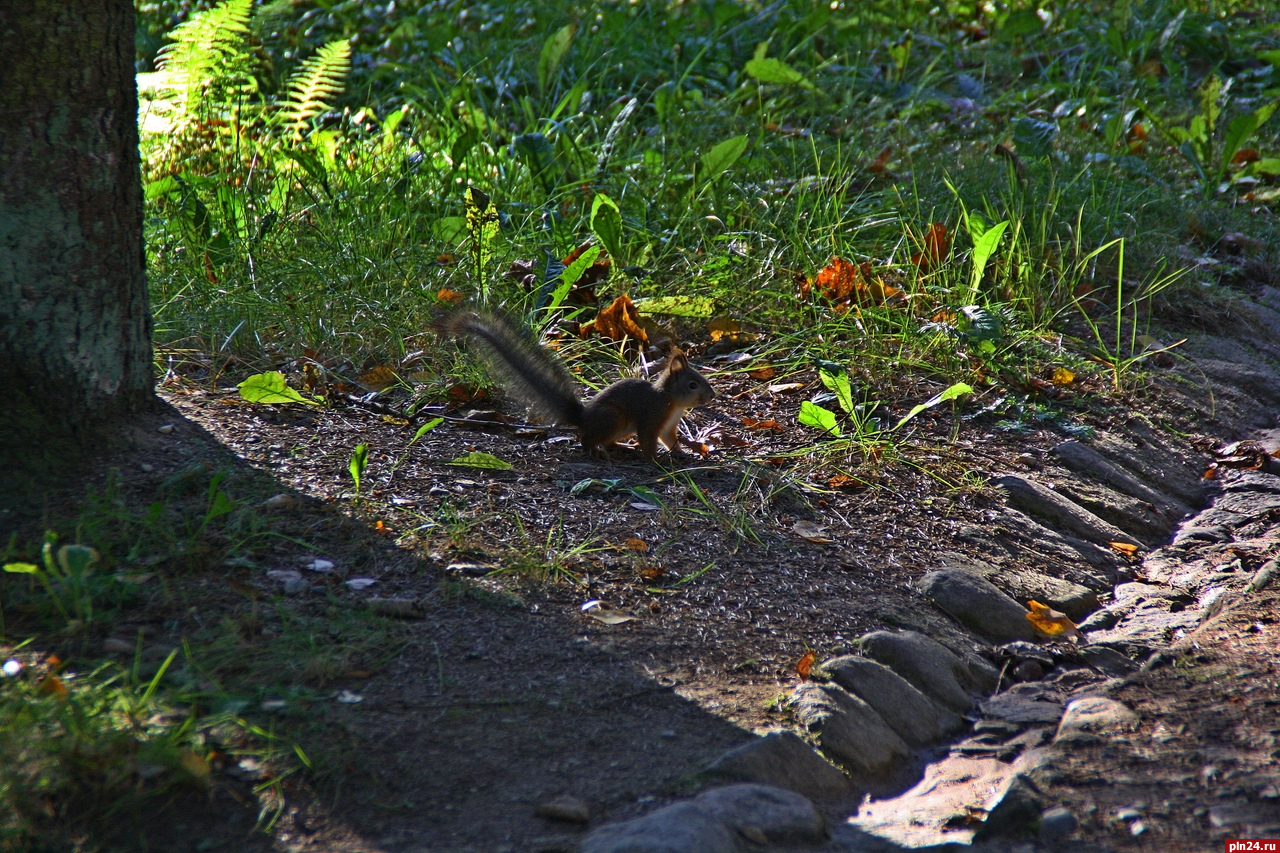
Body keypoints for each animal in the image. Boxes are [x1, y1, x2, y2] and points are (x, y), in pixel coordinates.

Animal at [445, 308, 716, 461]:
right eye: (693, 385)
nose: (711, 395)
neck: (671, 401)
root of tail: (583, 419)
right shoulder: (651, 417)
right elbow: (649, 440)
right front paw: (657, 462)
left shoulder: (669, 425)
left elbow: (669, 439)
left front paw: (681, 452)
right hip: (613, 417)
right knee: (586, 439)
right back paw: (595, 450)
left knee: (605, 440)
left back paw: (621, 448)